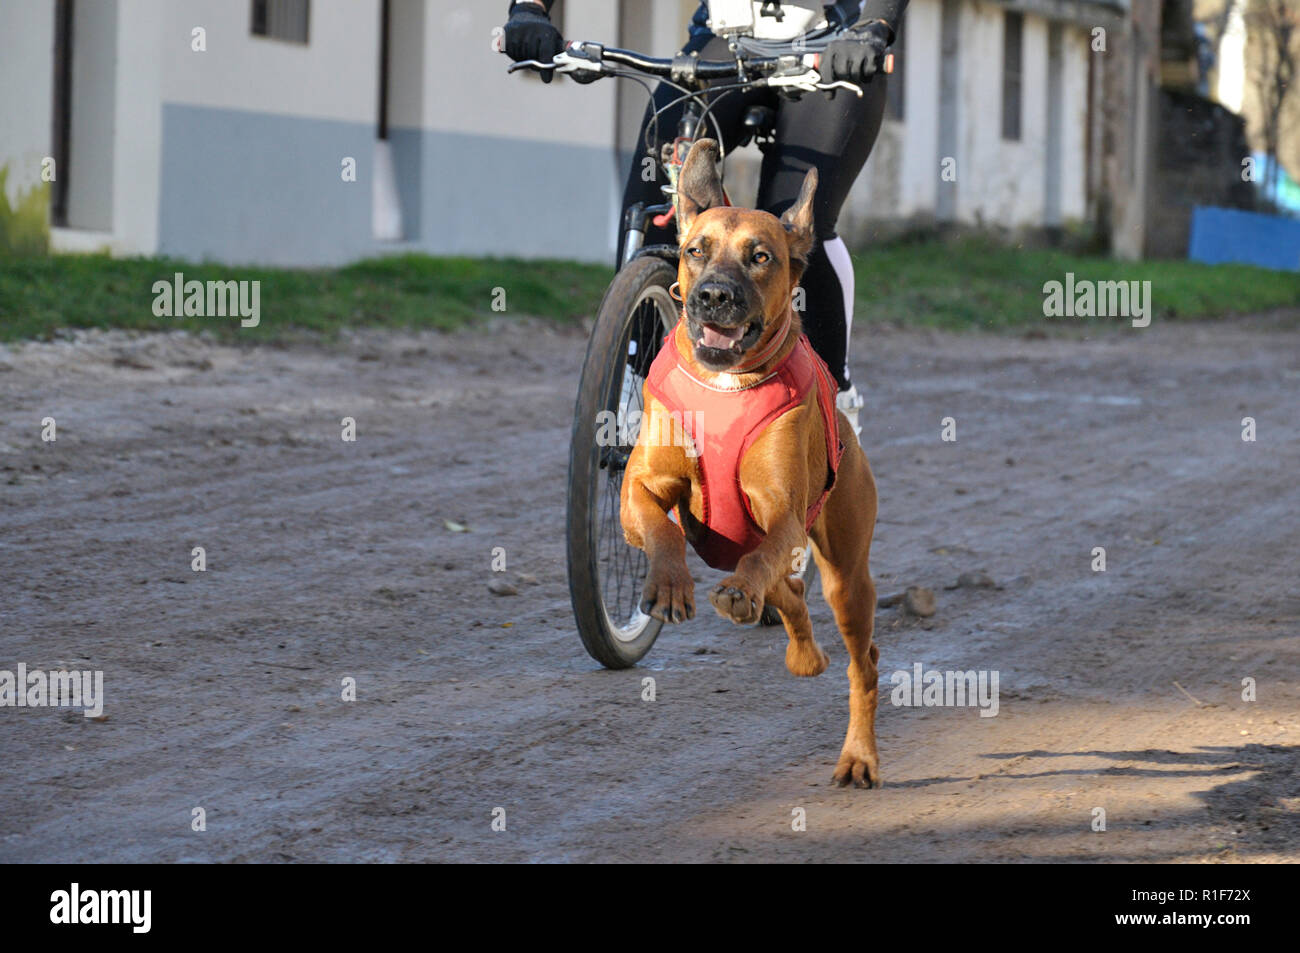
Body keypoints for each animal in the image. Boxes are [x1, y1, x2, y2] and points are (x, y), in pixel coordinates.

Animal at [618, 135, 883, 790]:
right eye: (695, 250)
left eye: (760, 256)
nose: (714, 294)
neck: (725, 384)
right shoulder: (637, 491)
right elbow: (660, 526)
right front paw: (668, 585)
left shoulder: (784, 513)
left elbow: (765, 555)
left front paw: (738, 591)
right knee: (785, 591)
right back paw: (800, 649)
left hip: (847, 574)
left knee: (859, 659)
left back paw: (858, 755)